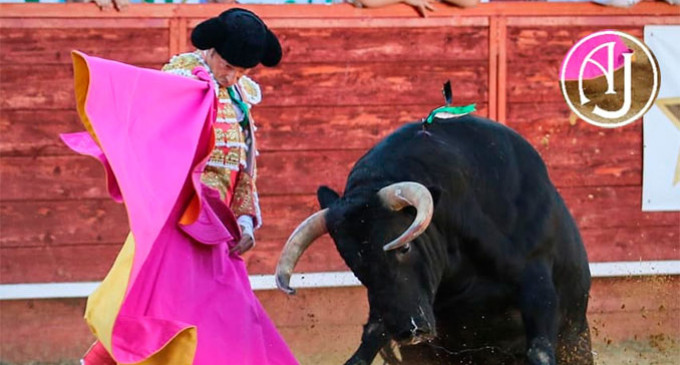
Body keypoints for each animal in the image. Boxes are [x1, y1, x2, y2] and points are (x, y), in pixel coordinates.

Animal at [274, 114, 592, 364]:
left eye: (404, 246)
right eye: (355, 267)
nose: (409, 331)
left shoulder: (538, 287)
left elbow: (540, 351)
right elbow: (365, 347)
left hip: (576, 337)